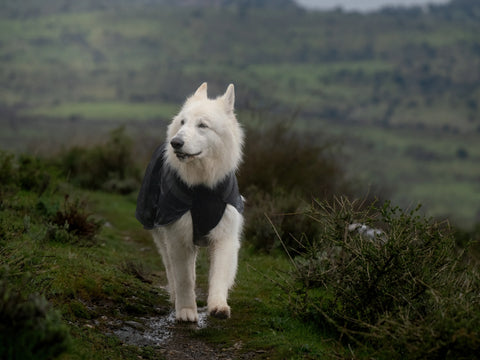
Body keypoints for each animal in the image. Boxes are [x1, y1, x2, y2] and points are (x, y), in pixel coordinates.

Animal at [137, 83, 246, 322]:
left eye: (202, 125)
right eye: (183, 122)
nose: (175, 143)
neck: (202, 188)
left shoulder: (224, 238)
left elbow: (218, 277)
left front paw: (218, 306)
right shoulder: (178, 236)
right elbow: (185, 279)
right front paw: (186, 311)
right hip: (162, 237)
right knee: (172, 270)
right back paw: (175, 298)